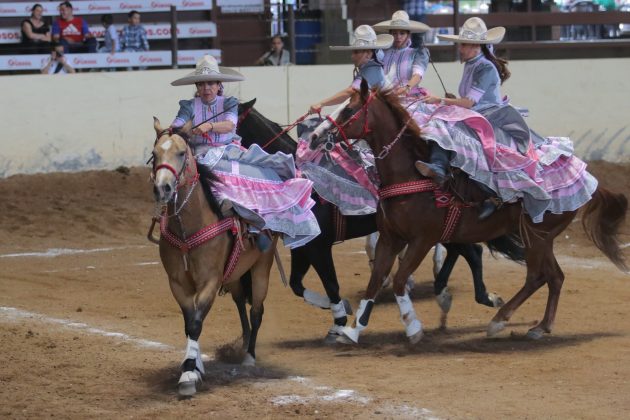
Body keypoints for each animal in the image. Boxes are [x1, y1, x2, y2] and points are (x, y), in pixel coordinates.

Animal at [149, 119, 278, 398]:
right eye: (154, 154)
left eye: (181, 153)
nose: (163, 188)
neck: (188, 230)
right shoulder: (177, 282)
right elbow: (189, 322)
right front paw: (194, 366)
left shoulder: (209, 281)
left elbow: (196, 323)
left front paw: (188, 374)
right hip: (236, 274)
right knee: (241, 304)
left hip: (261, 268)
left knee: (257, 311)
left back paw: (249, 356)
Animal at [237, 99, 528, 338]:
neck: (305, 180)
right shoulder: (303, 247)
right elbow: (298, 285)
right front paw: (341, 314)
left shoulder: (319, 246)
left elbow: (330, 284)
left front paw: (340, 320)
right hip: (446, 229)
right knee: (468, 252)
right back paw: (451, 293)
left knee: (472, 253)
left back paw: (477, 298)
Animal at [314, 81, 628, 344]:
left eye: (349, 109)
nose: (318, 135)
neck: (409, 174)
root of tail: (587, 178)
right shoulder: (391, 238)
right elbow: (375, 282)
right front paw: (353, 331)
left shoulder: (422, 240)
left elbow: (401, 280)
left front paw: (413, 328)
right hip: (541, 239)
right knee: (555, 277)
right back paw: (540, 326)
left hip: (537, 237)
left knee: (538, 277)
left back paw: (499, 321)